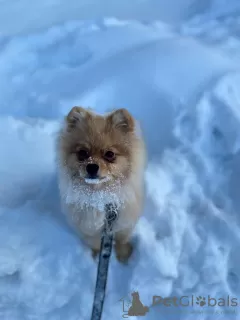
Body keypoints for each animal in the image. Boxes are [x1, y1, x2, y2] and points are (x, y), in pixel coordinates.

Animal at [56, 107, 146, 262]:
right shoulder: (88, 228)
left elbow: (122, 240)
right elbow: (96, 244)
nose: (92, 166)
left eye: (110, 154)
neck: (101, 197)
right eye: (82, 153)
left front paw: (123, 257)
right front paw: (96, 256)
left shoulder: (124, 223)